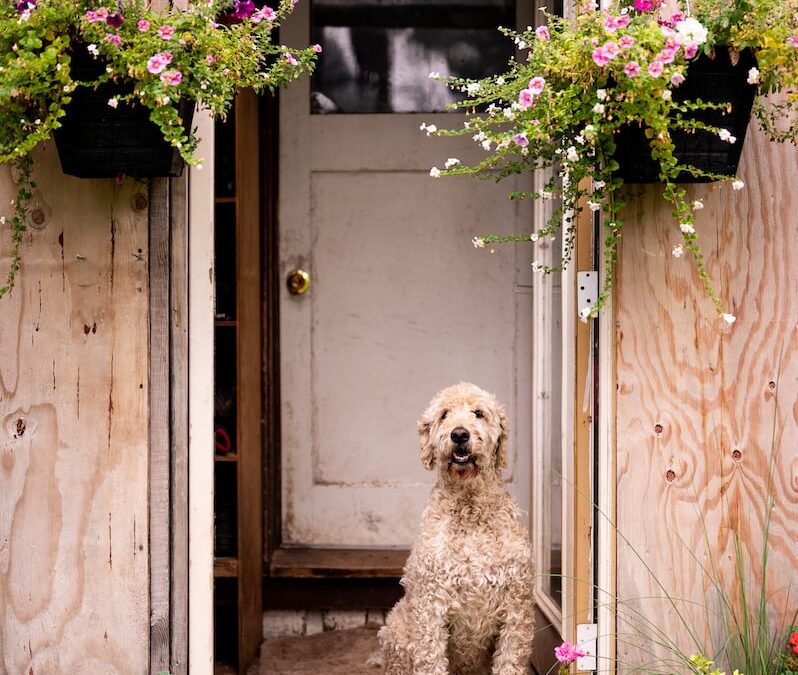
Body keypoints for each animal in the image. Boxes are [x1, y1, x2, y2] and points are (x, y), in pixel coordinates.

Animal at [378, 382, 536, 672]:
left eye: (479, 413)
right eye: (444, 414)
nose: (459, 434)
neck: (470, 506)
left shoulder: (516, 608)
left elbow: (509, 659)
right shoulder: (431, 607)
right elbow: (431, 659)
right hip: (396, 630)